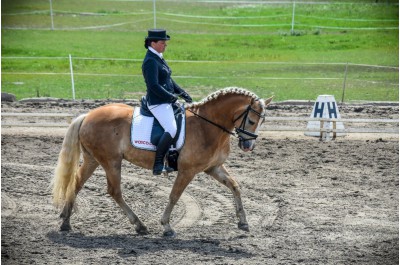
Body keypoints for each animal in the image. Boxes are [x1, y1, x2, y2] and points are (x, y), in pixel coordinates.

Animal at [51, 87, 274, 236]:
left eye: (262, 121)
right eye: (252, 120)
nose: (248, 146)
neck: (208, 126)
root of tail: (88, 115)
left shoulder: (213, 167)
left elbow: (235, 186)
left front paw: (243, 222)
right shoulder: (187, 171)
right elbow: (175, 195)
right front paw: (166, 226)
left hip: (93, 160)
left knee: (76, 184)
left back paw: (65, 222)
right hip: (111, 161)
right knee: (114, 191)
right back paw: (139, 225)